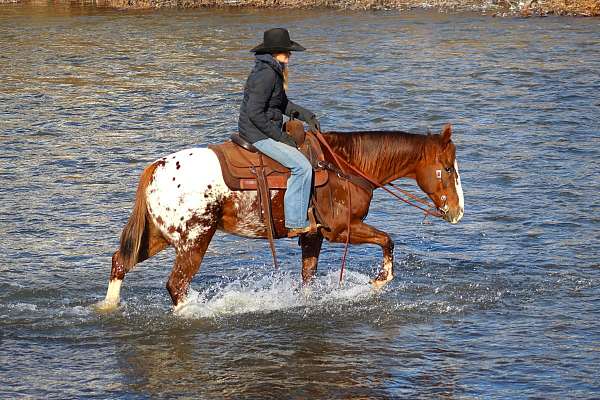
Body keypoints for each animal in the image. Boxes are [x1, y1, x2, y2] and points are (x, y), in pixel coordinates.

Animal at [97, 123, 464, 310]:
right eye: (447, 169)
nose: (458, 211)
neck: (345, 166)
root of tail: (156, 168)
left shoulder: (314, 235)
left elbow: (308, 279)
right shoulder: (341, 229)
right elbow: (388, 241)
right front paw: (378, 282)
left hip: (158, 236)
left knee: (120, 262)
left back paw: (108, 307)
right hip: (195, 239)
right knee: (176, 285)